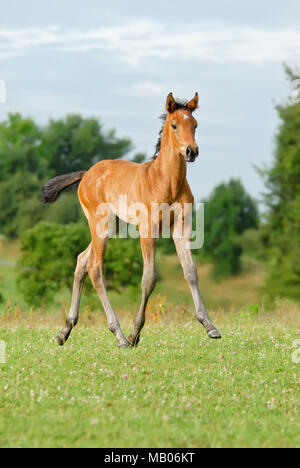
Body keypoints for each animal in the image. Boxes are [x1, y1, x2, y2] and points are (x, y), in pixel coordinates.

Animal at [41, 91, 220, 348]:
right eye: (174, 125)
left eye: (195, 125)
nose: (191, 151)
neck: (167, 181)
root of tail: (86, 174)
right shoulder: (148, 229)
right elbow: (149, 278)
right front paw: (135, 332)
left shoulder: (181, 226)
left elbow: (190, 271)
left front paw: (209, 326)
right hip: (100, 224)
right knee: (95, 268)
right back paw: (120, 335)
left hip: (114, 225)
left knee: (82, 261)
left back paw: (64, 330)